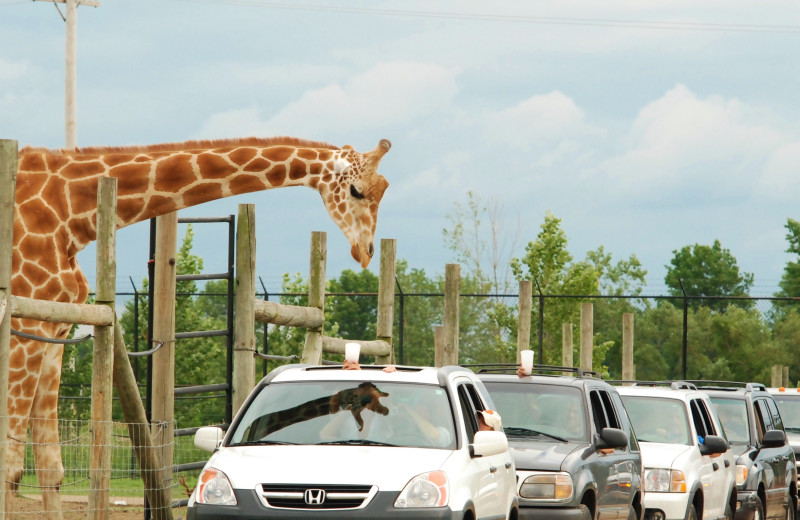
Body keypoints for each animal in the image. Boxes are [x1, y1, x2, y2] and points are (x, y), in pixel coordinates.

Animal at [9, 136, 390, 516]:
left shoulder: (57, 331)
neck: (74, 214)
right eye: (356, 191)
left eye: (383, 188)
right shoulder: (26, 327)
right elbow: (12, 467)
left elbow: (50, 468)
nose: (366, 251)